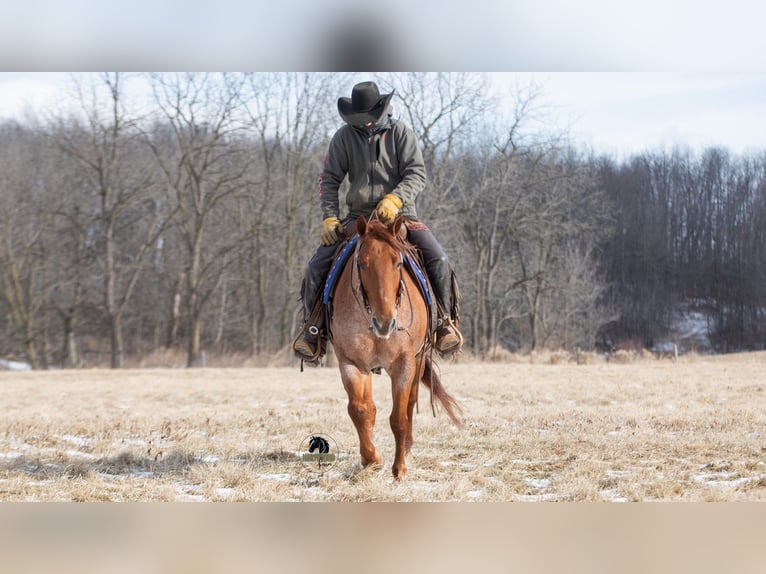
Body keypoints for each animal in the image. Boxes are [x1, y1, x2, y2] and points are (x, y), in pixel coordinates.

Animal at [329, 214, 462, 479]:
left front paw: (399, 469)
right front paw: (371, 459)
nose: (385, 322)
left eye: (398, 263)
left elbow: (399, 418)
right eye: (362, 264)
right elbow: (360, 410)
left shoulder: (404, 364)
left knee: (410, 403)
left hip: (418, 361)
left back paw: (408, 450)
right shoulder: (352, 363)